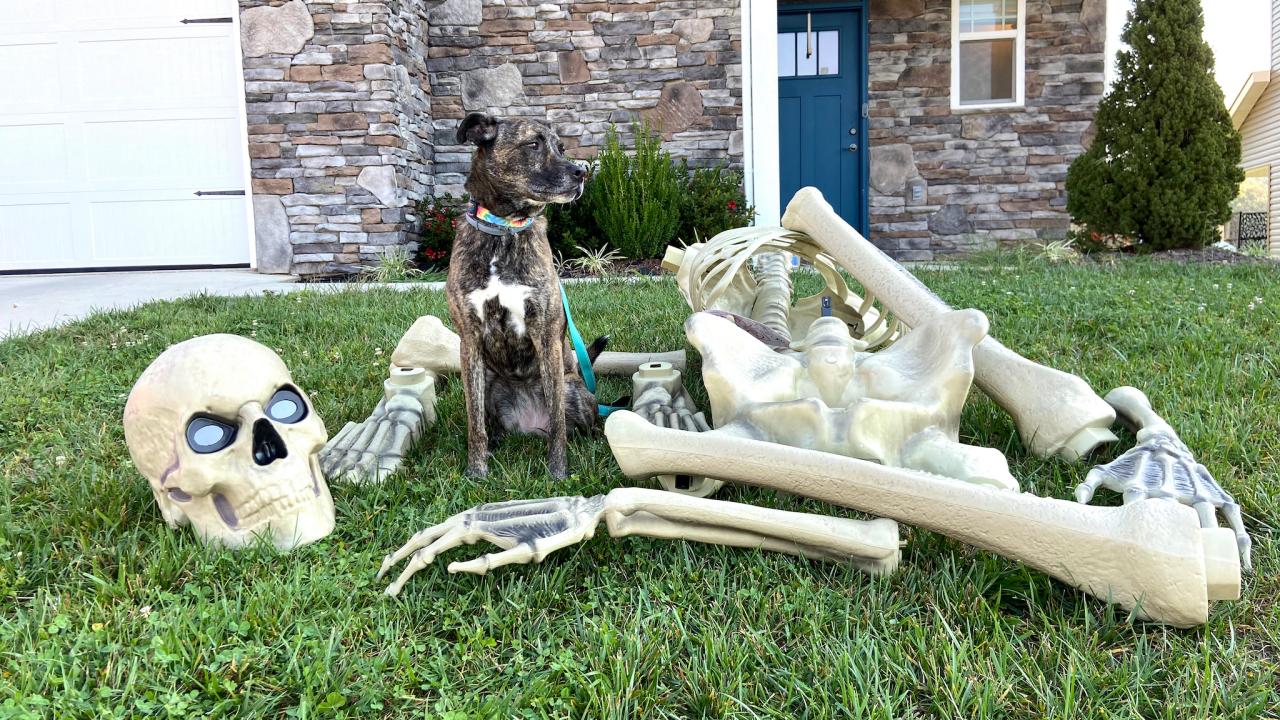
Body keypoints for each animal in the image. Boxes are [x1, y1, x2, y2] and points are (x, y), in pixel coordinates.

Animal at [448, 112, 601, 476]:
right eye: (533, 144)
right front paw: (476, 473)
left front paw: (557, 474)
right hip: (489, 381)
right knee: (489, 422)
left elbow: (559, 424)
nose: (582, 171)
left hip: (572, 386)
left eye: (561, 148)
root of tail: (529, 426)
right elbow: (475, 424)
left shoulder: (545, 335)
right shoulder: (469, 340)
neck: (504, 230)